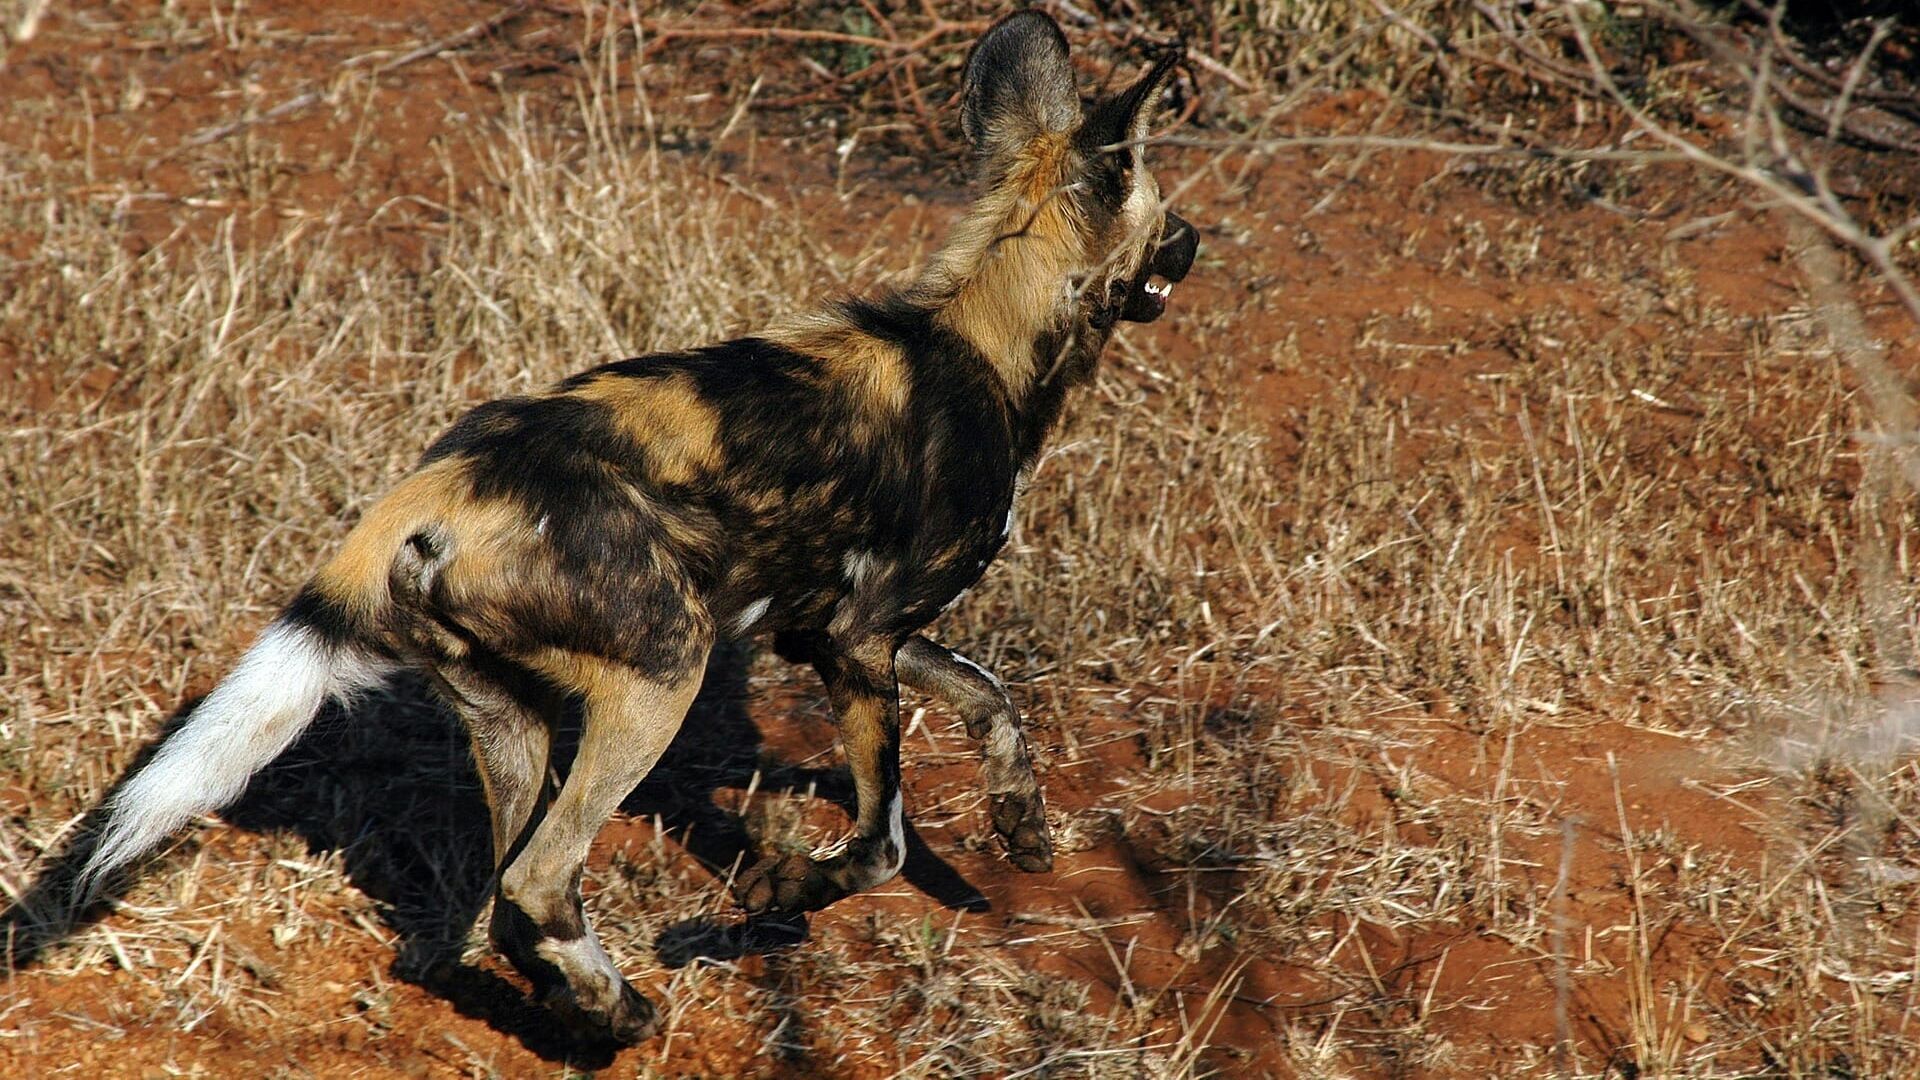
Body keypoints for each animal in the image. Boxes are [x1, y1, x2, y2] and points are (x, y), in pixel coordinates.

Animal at [82, 10, 1190, 1045]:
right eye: (1164, 208)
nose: (1196, 243)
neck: (984, 340)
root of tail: (446, 480)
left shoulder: (829, 632)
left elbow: (992, 695)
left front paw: (1021, 825)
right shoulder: (857, 638)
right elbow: (883, 844)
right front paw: (772, 899)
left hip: (513, 717)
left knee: (506, 901)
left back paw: (586, 1009)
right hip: (664, 673)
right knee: (536, 880)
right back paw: (618, 1007)